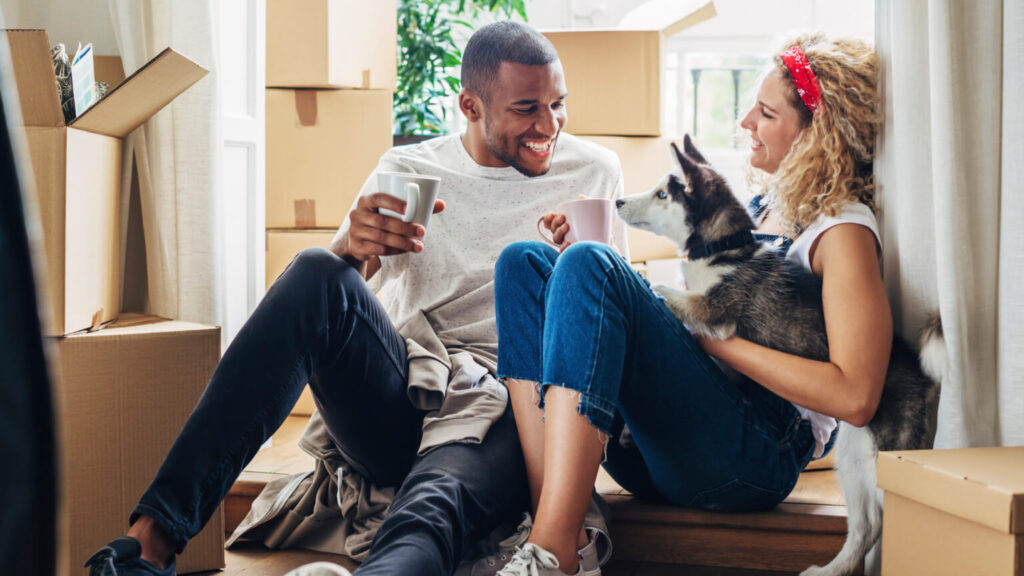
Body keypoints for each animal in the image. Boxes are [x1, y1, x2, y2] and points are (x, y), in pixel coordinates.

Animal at [614, 135, 942, 573]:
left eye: (662, 193)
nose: (617, 202)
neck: (722, 250)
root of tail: (921, 374)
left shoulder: (713, 311)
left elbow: (661, 292)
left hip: (882, 458)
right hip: (853, 457)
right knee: (866, 525)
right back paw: (832, 568)